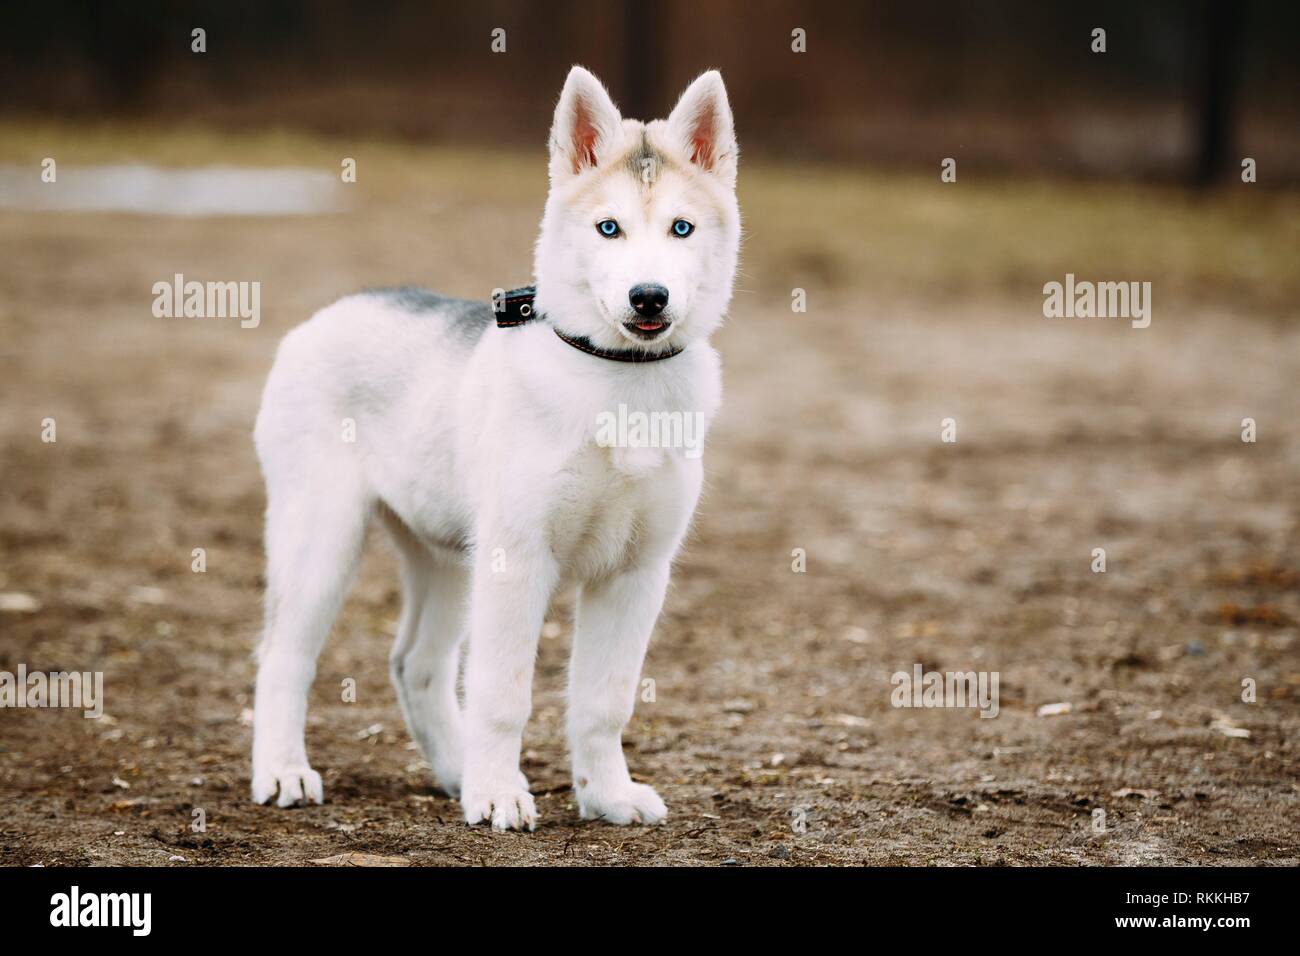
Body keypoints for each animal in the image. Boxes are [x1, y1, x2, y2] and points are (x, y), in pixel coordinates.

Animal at [250, 67, 743, 832]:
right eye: (608, 227)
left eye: (681, 228)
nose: (648, 296)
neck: (620, 378)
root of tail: (331, 312)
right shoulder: (518, 559)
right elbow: (502, 692)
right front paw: (499, 793)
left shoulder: (636, 572)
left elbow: (604, 700)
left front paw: (605, 794)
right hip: (321, 537)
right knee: (283, 657)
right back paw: (283, 771)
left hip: (449, 554)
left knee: (416, 662)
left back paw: (455, 772)